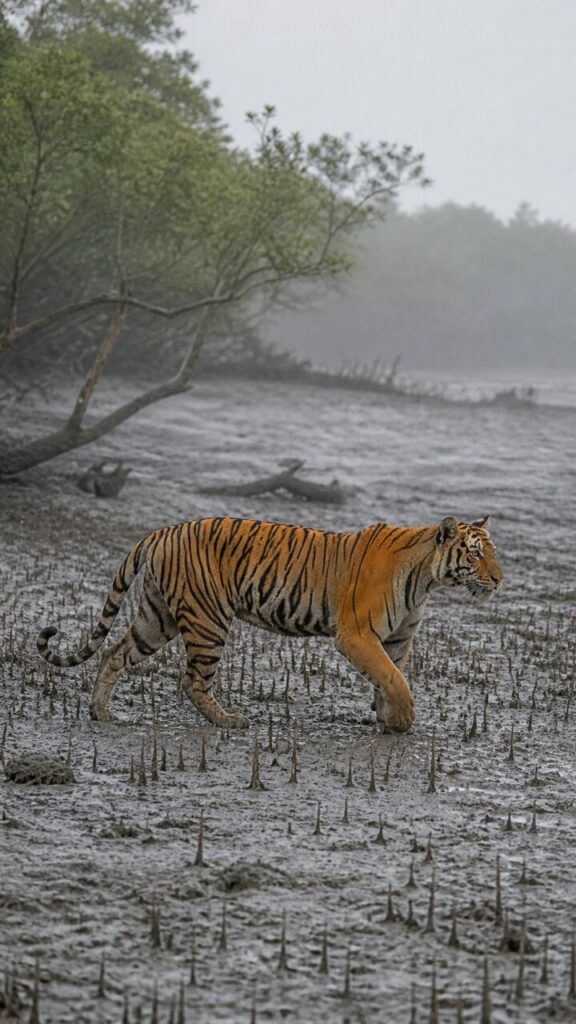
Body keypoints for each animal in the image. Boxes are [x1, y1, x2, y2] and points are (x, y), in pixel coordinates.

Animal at [37, 514, 503, 733]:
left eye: (492, 552)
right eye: (476, 553)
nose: (500, 578)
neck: (426, 579)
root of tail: (163, 531)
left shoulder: (398, 640)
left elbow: (390, 678)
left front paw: (388, 722)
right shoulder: (356, 636)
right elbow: (394, 679)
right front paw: (403, 720)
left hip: (157, 618)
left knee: (115, 655)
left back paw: (101, 712)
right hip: (207, 620)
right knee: (191, 680)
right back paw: (228, 721)